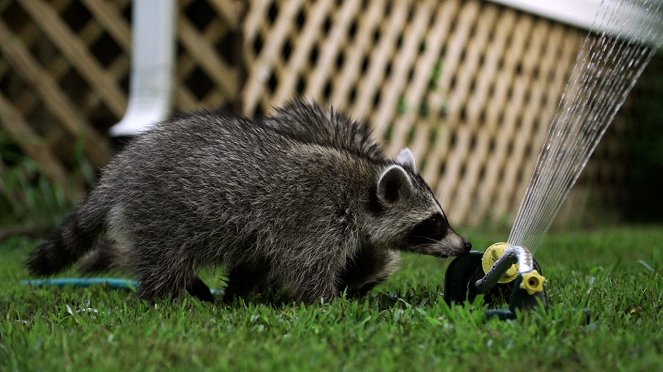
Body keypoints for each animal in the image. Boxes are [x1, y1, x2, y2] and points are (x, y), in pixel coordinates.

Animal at [26, 101, 472, 302]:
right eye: (434, 222)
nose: (466, 244)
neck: (359, 183)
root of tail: (122, 167)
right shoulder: (315, 219)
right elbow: (309, 268)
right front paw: (327, 302)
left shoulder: (279, 233)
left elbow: (258, 262)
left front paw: (239, 294)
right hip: (163, 209)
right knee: (164, 261)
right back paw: (167, 297)